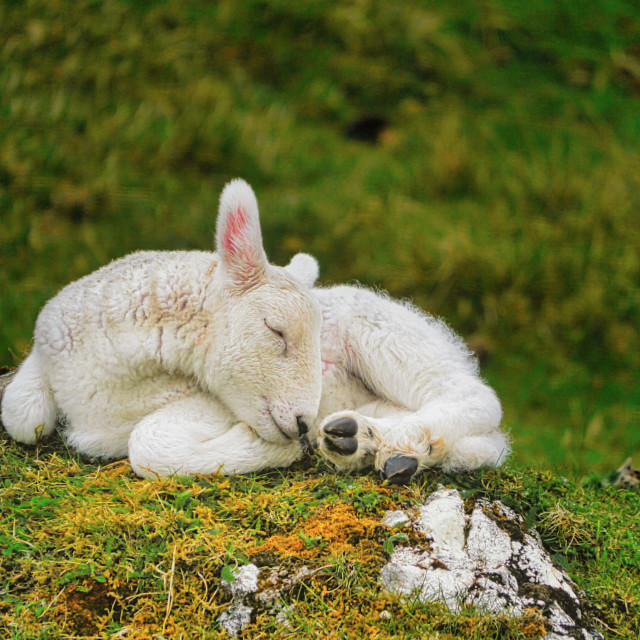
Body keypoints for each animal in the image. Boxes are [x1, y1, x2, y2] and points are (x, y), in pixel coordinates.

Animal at [1, 178, 510, 482]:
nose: (304, 422)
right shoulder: (47, 347)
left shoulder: (210, 404)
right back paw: (363, 442)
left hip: (385, 332)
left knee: (475, 398)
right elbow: (21, 414)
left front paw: (270, 452)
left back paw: (394, 442)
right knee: (482, 439)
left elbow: (148, 446)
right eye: (277, 331)